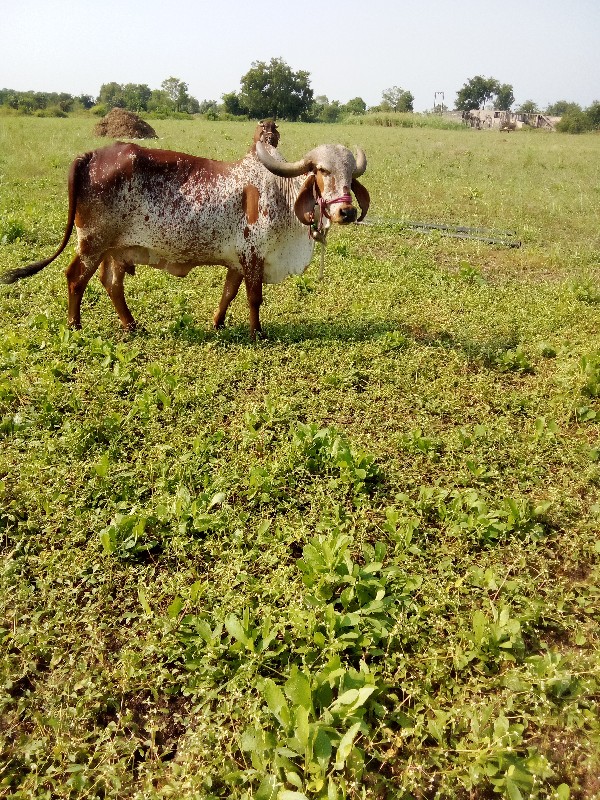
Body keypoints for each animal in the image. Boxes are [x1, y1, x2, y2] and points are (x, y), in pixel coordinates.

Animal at [1, 126, 370, 338]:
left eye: (351, 175)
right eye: (321, 170)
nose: (347, 211)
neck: (280, 191)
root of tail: (91, 155)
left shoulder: (237, 261)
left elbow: (228, 294)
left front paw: (218, 323)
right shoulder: (254, 256)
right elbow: (254, 298)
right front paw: (257, 333)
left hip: (114, 250)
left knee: (111, 283)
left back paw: (130, 324)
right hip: (92, 243)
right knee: (75, 277)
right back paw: (75, 325)